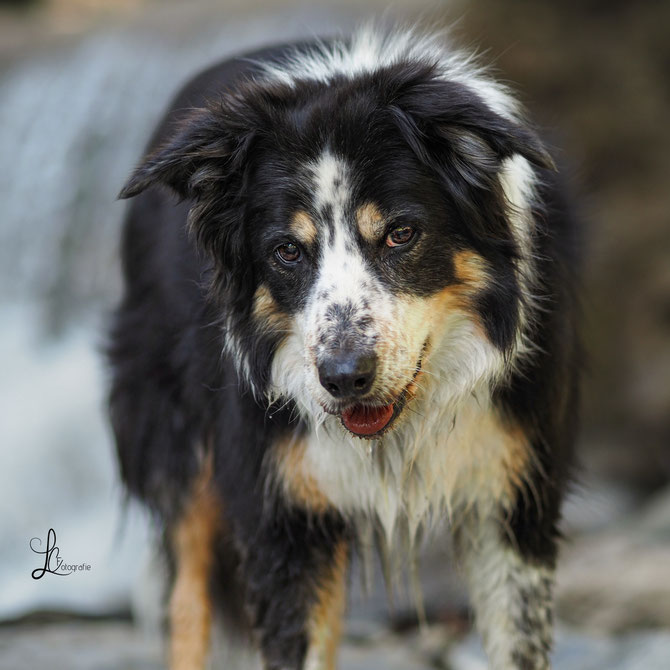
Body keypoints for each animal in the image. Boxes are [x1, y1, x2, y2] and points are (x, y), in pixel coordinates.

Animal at [107, 25, 580, 670]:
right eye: (287, 251)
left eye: (401, 234)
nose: (344, 377)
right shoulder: (282, 509)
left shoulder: (513, 489)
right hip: (175, 434)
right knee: (186, 597)